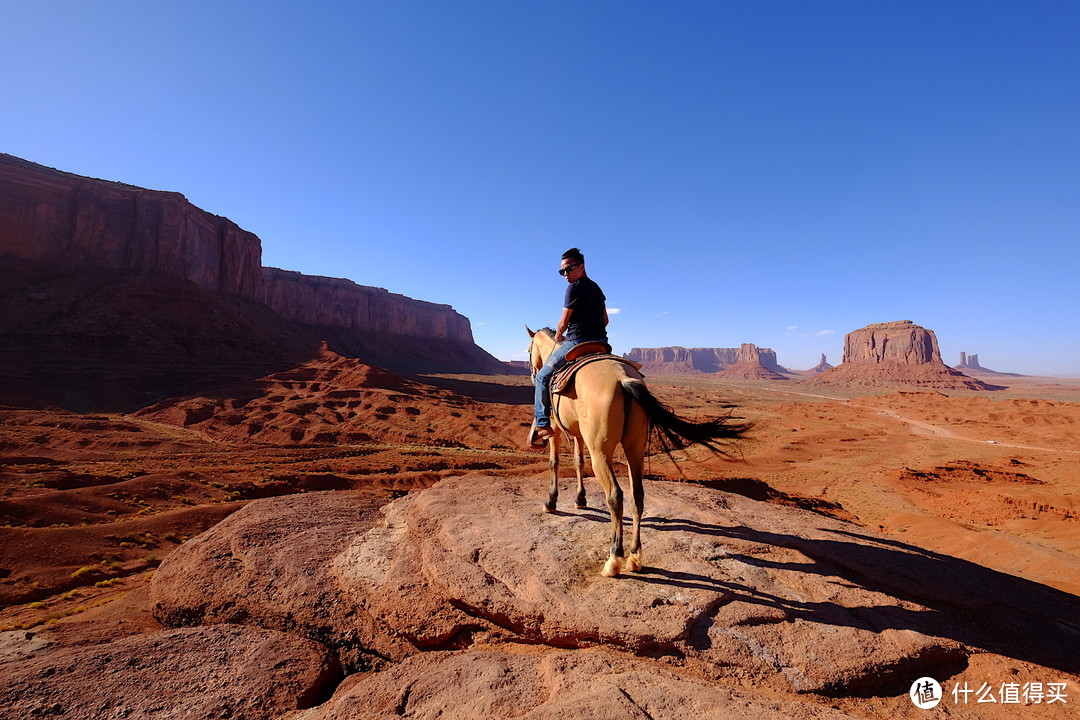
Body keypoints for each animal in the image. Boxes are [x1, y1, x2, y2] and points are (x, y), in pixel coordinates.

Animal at [527, 330, 747, 578]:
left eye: (529, 350)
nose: (533, 373)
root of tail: (623, 379)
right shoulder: (577, 433)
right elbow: (577, 462)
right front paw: (580, 499)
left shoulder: (555, 429)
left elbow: (554, 462)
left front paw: (551, 501)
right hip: (635, 447)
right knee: (638, 495)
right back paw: (634, 557)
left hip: (600, 452)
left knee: (615, 496)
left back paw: (614, 559)